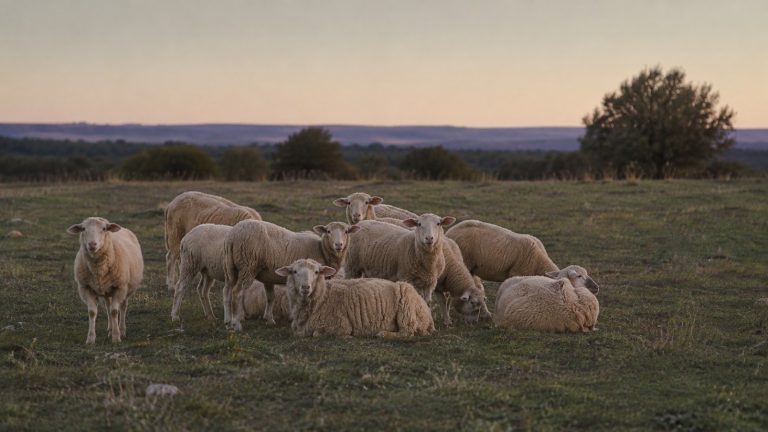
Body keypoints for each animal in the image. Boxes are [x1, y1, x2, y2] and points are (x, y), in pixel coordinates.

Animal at [223, 219, 360, 331]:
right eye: (328, 231)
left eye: (346, 231)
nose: (338, 245)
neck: (322, 249)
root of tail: (233, 235)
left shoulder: (268, 277)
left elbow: (270, 297)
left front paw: (269, 319)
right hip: (247, 265)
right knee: (236, 293)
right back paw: (236, 324)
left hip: (231, 268)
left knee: (227, 292)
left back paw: (228, 321)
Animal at [276, 259, 435, 337]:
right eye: (294, 271)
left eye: (316, 272)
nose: (305, 287)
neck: (323, 297)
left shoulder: (340, 325)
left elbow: (316, 334)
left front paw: (350, 336)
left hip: (407, 307)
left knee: (408, 332)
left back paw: (383, 334)